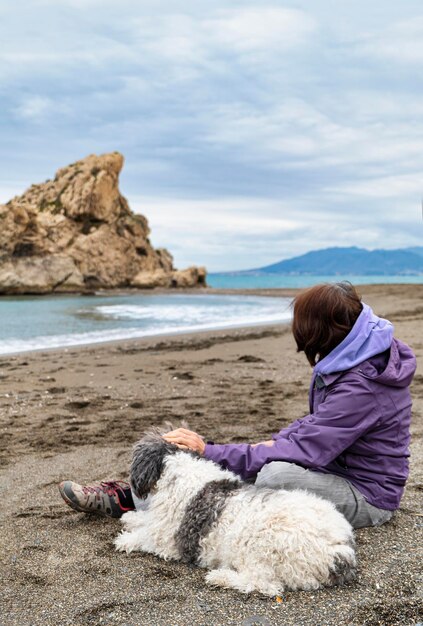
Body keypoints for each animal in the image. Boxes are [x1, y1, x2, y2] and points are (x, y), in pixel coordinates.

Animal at [114, 426, 356, 592]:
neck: (180, 468)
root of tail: (339, 551)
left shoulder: (168, 539)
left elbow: (146, 537)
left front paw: (126, 540)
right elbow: (146, 520)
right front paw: (132, 518)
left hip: (265, 547)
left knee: (262, 584)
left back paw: (221, 577)